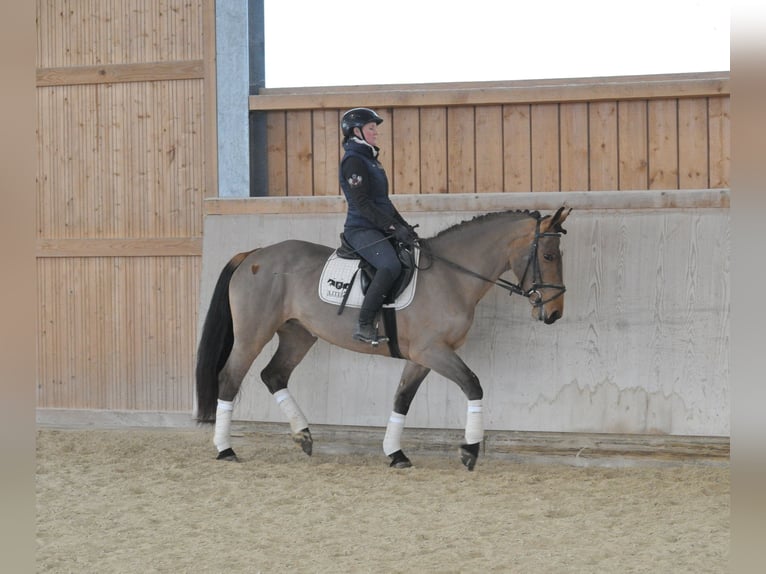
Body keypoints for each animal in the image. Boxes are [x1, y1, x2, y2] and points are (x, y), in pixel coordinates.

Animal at [196, 206, 571, 470]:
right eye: (549, 256)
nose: (554, 313)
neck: (451, 276)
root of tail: (255, 254)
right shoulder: (433, 351)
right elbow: (473, 385)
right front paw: (470, 450)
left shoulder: (422, 357)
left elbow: (401, 399)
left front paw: (396, 454)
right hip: (252, 334)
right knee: (229, 379)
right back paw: (226, 449)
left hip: (298, 334)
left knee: (273, 375)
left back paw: (303, 436)